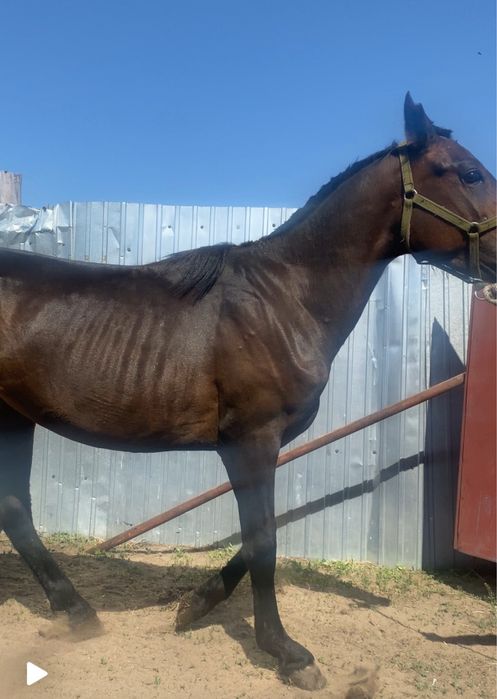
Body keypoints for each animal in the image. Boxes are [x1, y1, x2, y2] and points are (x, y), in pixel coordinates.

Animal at [0, 94, 495, 691]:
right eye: (469, 172)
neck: (284, 299)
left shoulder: (261, 446)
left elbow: (259, 534)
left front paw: (195, 604)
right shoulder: (251, 441)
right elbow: (263, 541)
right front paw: (286, 652)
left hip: (10, 415)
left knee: (14, 510)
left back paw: (76, 611)